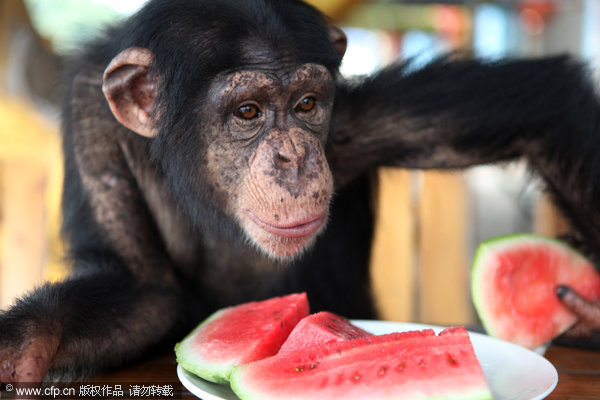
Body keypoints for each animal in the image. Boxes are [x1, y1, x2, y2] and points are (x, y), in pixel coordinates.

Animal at [1, 0, 600, 382]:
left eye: (307, 104)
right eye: (248, 111)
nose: (294, 155)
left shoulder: (359, 117)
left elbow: (539, 112)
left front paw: (592, 308)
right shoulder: (91, 117)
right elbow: (141, 283)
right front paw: (29, 337)